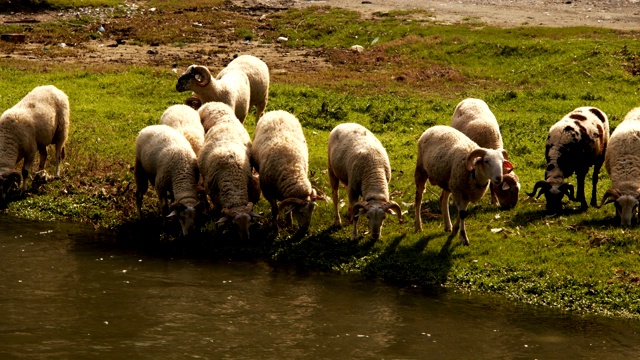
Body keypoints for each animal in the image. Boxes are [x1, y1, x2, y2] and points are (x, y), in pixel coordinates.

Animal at [199, 101, 262, 240]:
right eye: (234, 224)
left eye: (249, 221)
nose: (245, 239)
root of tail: (212, 103)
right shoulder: (214, 194)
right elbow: (217, 214)